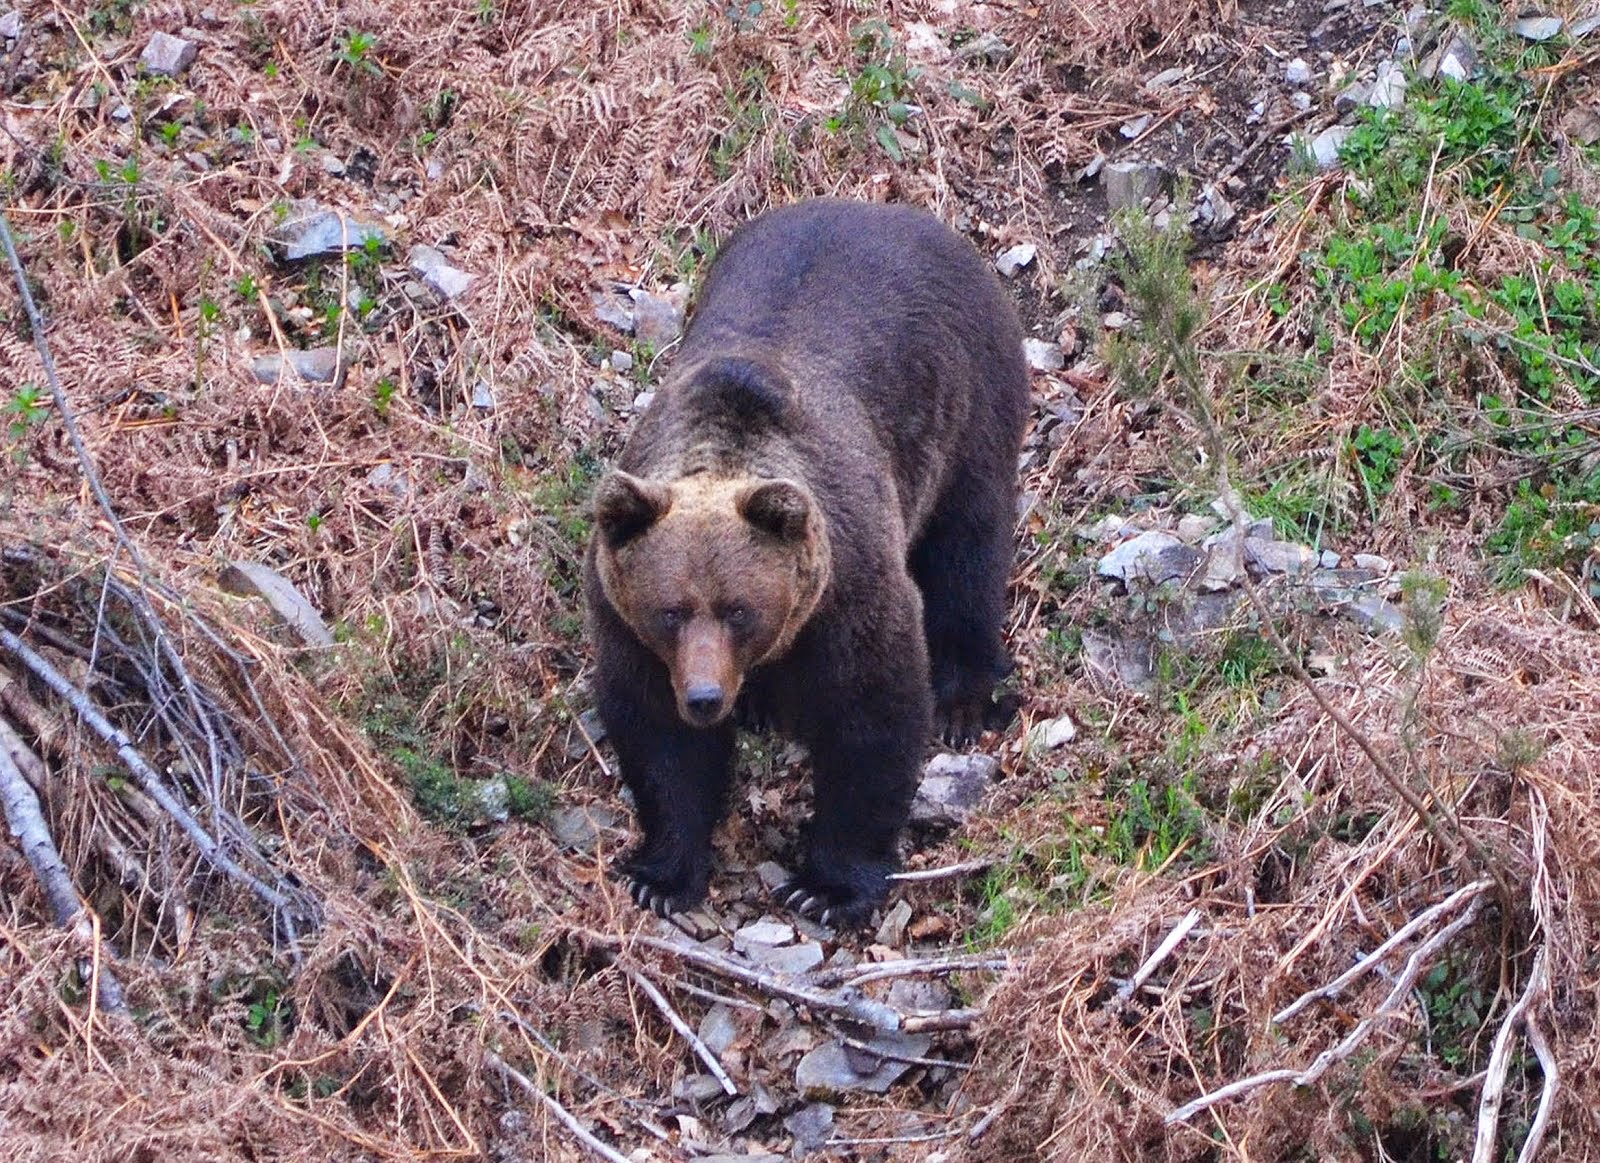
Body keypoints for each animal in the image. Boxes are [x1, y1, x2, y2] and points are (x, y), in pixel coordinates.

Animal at [585, 199, 1024, 927]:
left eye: (739, 609)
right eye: (670, 611)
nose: (705, 696)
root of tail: (895, 213)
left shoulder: (848, 590)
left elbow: (872, 718)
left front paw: (825, 886)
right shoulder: (624, 617)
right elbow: (657, 735)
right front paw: (661, 873)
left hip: (973, 393)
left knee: (968, 547)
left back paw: (962, 699)